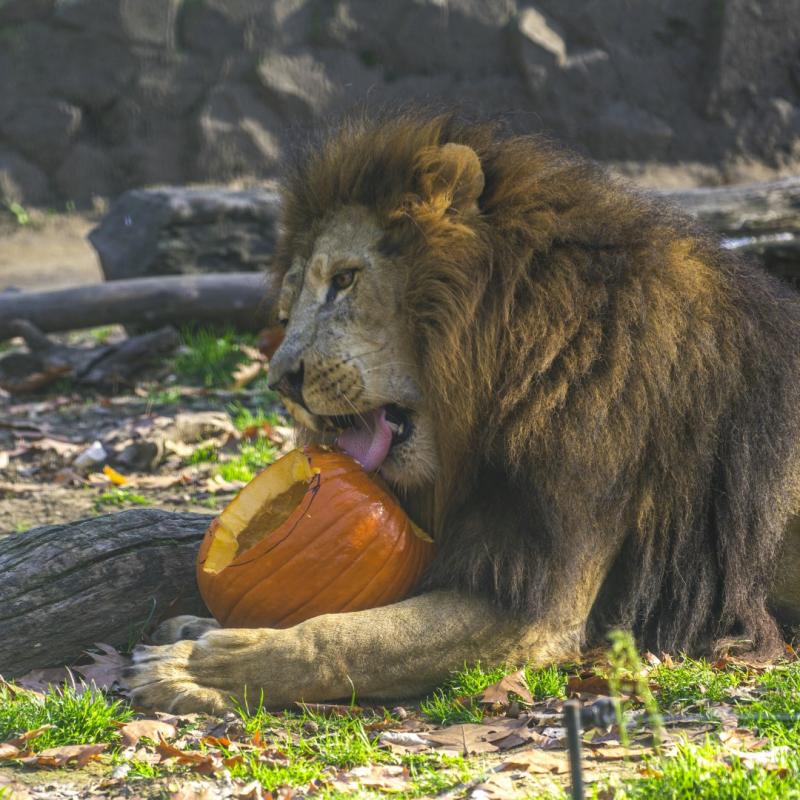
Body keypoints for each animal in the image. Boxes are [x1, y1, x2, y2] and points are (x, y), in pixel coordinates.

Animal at [128, 108, 800, 712]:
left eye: (345, 280)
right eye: (287, 309)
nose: (281, 382)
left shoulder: (541, 598)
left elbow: (348, 637)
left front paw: (197, 671)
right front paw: (194, 629)